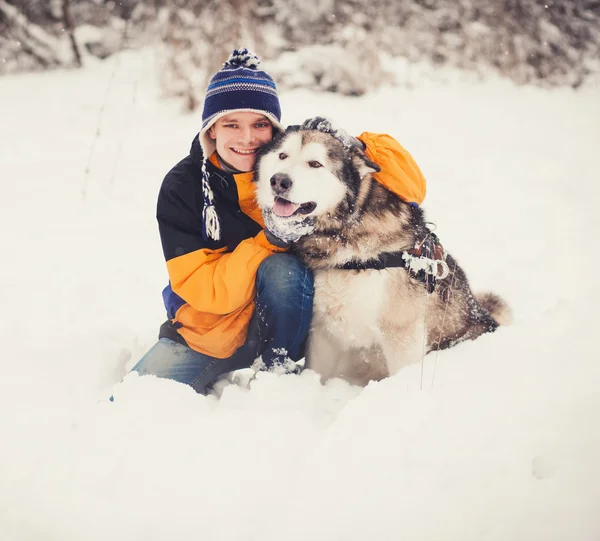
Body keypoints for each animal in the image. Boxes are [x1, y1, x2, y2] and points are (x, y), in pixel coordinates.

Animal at [253, 119, 510, 388]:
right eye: (282, 156)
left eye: (315, 163)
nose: (279, 181)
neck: (346, 233)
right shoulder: (323, 332)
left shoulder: (401, 332)